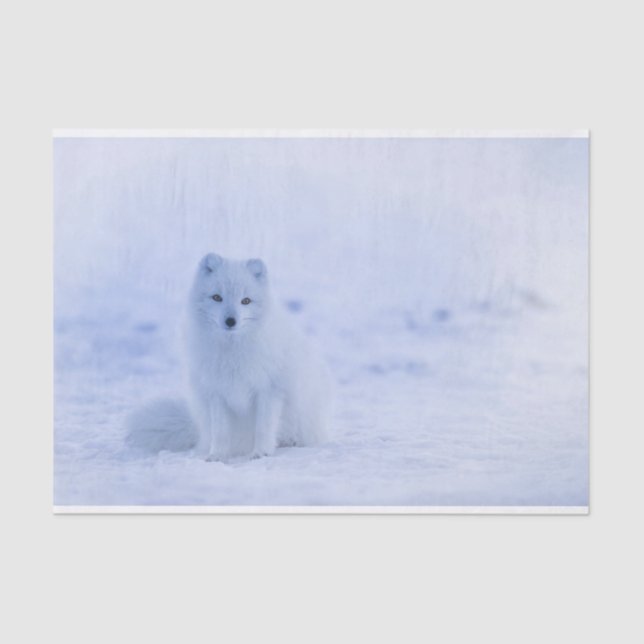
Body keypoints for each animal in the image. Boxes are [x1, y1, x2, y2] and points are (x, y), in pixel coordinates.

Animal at [125, 253, 333, 461]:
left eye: (246, 301)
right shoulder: (217, 392)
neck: (232, 352)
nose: (231, 321)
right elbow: (221, 432)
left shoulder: (269, 390)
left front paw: (261, 453)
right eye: (217, 297)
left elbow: (263, 428)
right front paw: (217, 456)